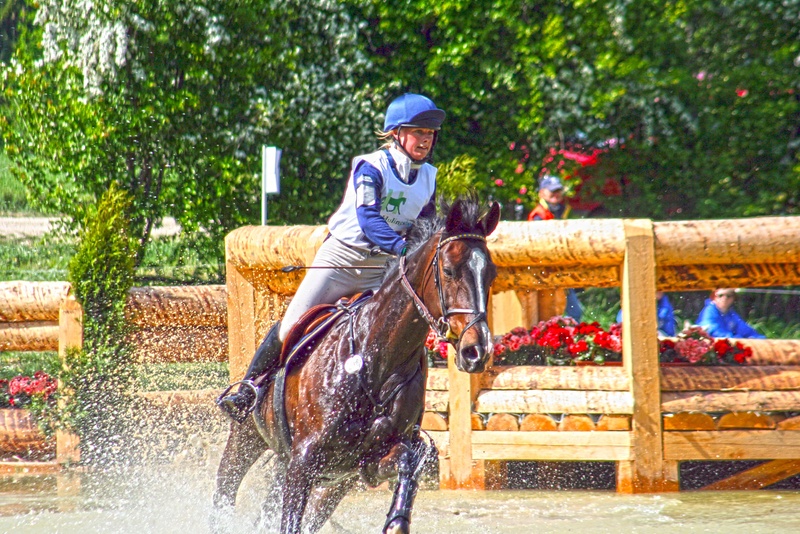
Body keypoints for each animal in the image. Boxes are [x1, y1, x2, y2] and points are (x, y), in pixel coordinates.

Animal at [212, 197, 500, 534]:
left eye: (491, 274)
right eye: (450, 270)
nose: (477, 351)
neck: (376, 362)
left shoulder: (365, 462)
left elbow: (407, 463)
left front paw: (397, 521)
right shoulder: (303, 460)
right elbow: (289, 522)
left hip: (327, 482)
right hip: (246, 439)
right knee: (224, 492)